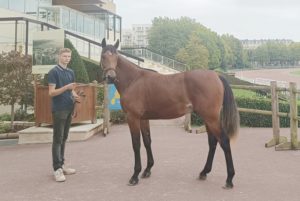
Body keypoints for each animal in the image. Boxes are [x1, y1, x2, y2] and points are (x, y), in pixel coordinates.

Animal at [100, 38, 239, 189]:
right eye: (103, 56)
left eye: (115, 57)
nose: (110, 77)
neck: (134, 80)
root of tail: (216, 76)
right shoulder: (143, 119)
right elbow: (147, 141)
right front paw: (147, 170)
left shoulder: (133, 117)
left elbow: (136, 144)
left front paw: (135, 175)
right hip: (208, 119)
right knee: (213, 142)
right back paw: (204, 172)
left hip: (211, 118)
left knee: (224, 141)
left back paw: (229, 179)